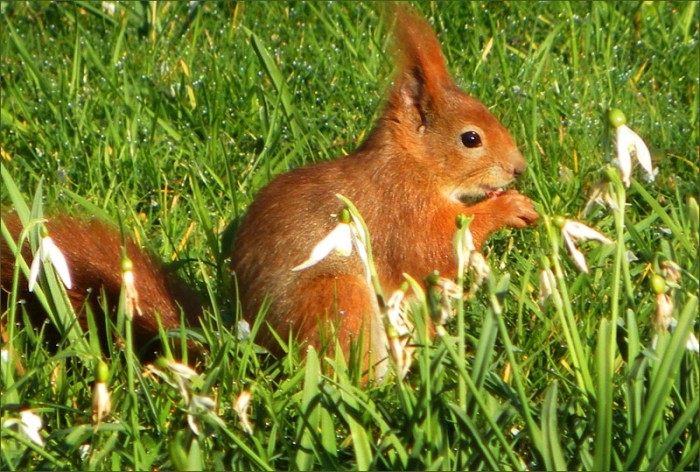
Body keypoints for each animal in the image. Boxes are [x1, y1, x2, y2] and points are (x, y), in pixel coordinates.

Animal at [1, 4, 537, 365]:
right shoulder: (398, 206)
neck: (412, 164)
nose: (518, 168)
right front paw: (508, 208)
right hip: (338, 298)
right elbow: (434, 247)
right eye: (471, 138)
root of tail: (253, 347)